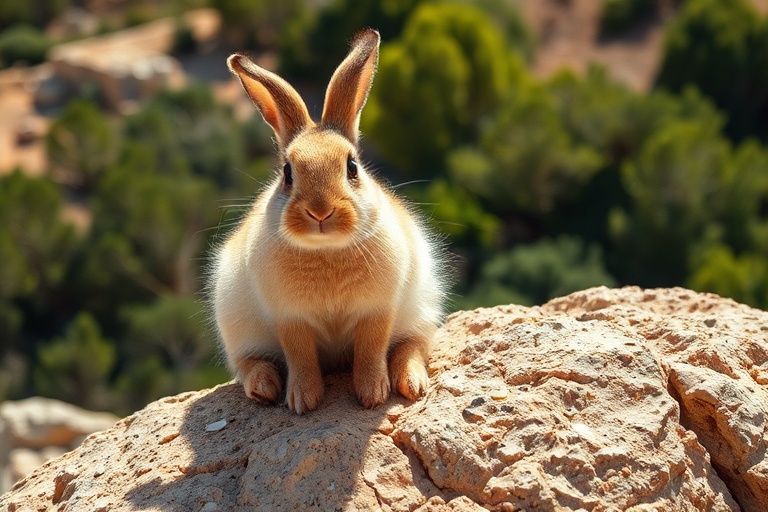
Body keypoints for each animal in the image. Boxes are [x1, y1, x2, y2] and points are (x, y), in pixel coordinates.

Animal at [211, 29, 448, 414]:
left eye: (352, 167)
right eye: (287, 173)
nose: (320, 211)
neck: (326, 250)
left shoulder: (378, 310)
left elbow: (371, 348)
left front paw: (373, 394)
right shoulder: (289, 318)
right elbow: (300, 355)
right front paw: (302, 401)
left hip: (421, 312)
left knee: (410, 347)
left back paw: (411, 384)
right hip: (239, 331)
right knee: (249, 364)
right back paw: (264, 388)